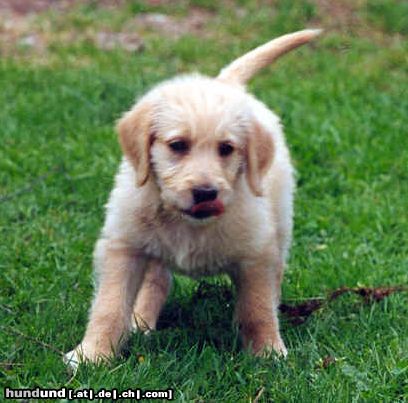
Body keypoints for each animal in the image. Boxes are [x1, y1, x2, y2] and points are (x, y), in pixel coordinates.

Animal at [64, 29, 322, 370]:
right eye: (178, 145)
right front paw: (92, 354)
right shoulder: (124, 246)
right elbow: (109, 306)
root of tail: (226, 83)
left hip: (280, 224)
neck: (187, 221)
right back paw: (141, 320)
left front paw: (267, 352)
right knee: (157, 279)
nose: (205, 192)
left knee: (275, 275)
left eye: (227, 149)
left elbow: (258, 307)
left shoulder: (255, 253)